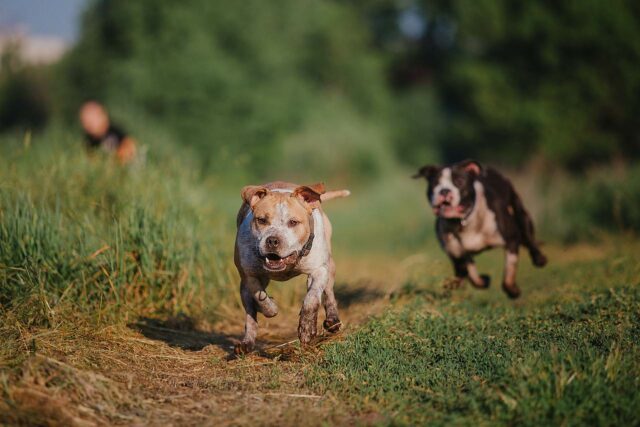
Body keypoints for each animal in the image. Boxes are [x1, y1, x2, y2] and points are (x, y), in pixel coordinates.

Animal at [234, 181, 348, 354]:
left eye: (293, 222)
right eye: (261, 220)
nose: (272, 240)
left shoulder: (319, 270)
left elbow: (311, 299)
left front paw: (307, 329)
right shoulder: (249, 274)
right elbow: (259, 297)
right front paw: (271, 308)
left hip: (329, 265)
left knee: (328, 292)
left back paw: (333, 320)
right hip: (244, 287)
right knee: (250, 312)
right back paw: (247, 342)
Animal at [416, 160, 544, 298]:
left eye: (459, 181)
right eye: (435, 183)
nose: (444, 191)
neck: (463, 221)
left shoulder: (512, 238)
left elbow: (509, 270)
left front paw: (513, 291)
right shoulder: (459, 253)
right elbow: (472, 275)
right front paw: (484, 280)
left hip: (519, 211)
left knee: (528, 236)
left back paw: (539, 259)